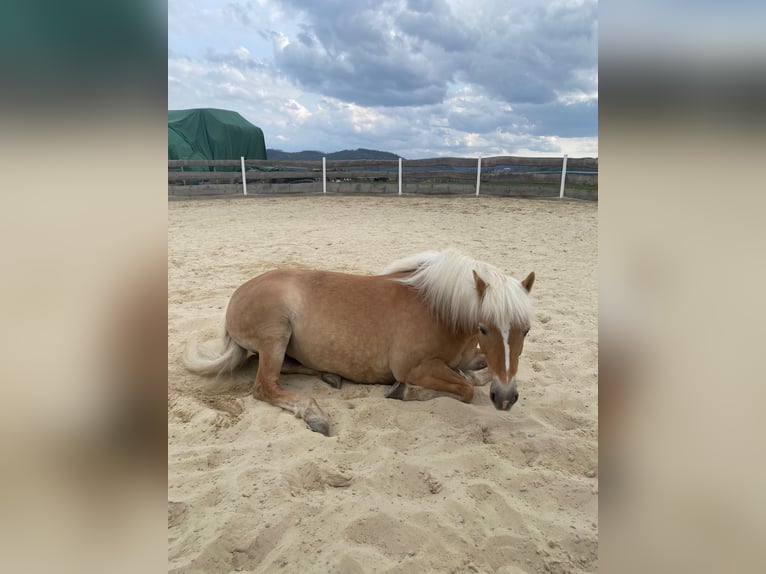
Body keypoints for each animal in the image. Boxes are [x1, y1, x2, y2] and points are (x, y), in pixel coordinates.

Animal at [183, 249, 535, 436]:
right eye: (484, 328)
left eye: (527, 330)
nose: (505, 398)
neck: (439, 310)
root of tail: (238, 294)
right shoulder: (414, 368)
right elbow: (464, 389)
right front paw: (403, 391)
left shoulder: (468, 359)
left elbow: (477, 373)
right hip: (275, 335)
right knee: (265, 385)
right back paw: (316, 414)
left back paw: (330, 375)